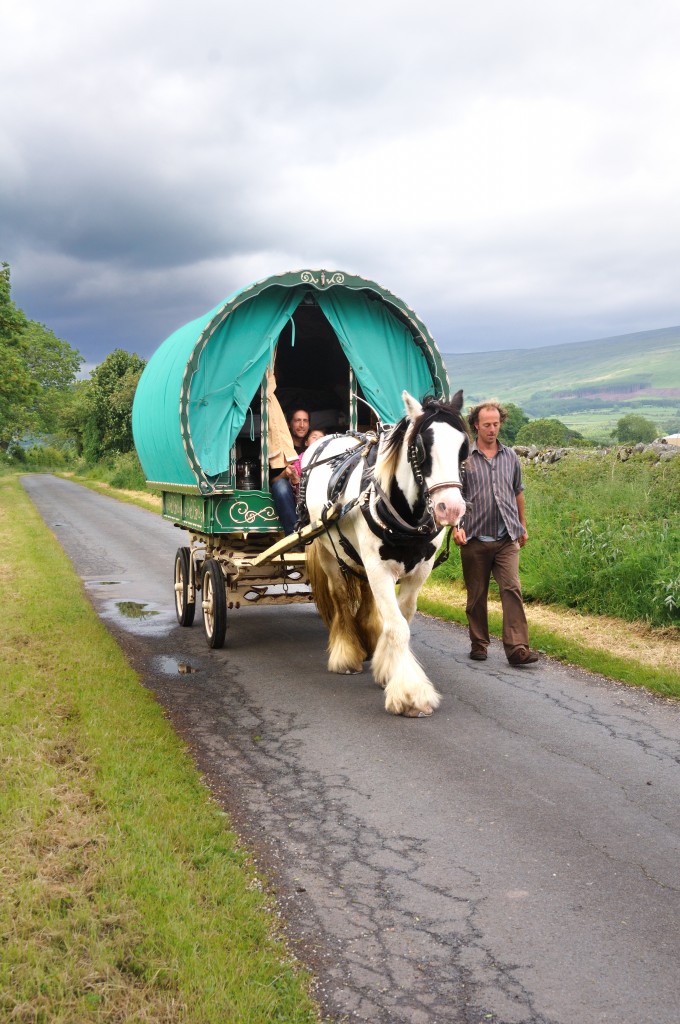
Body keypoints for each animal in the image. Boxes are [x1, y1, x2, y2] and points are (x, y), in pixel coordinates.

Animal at [301, 387, 471, 716]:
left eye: (463, 448)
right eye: (421, 447)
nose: (451, 508)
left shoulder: (419, 571)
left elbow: (401, 618)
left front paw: (387, 668)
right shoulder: (379, 568)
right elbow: (397, 627)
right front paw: (409, 693)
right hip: (328, 551)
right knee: (341, 598)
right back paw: (346, 653)